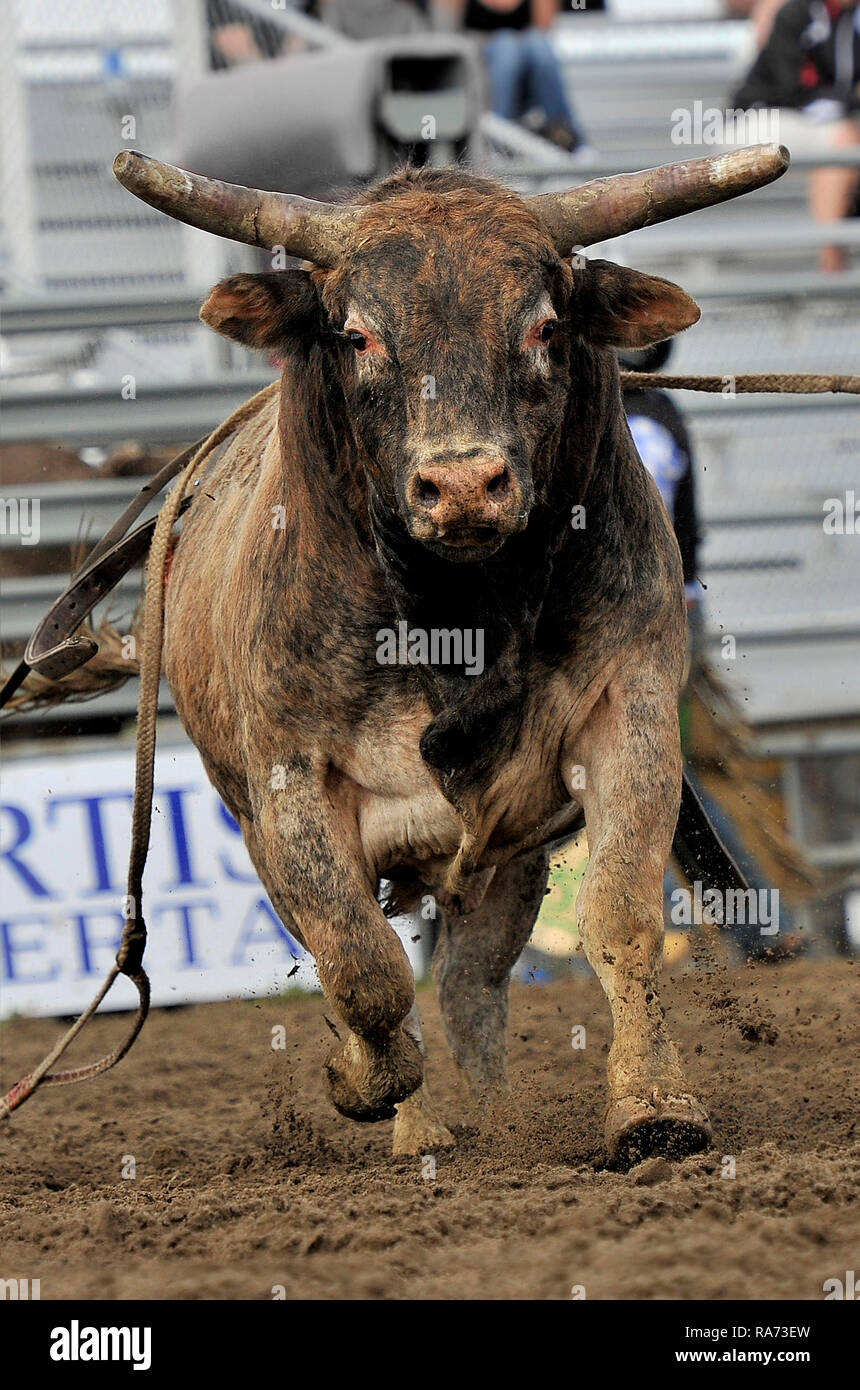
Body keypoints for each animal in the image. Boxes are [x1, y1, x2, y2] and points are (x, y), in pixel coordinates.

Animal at [100, 143, 789, 1162]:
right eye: (356, 336)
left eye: (544, 325)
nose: (463, 484)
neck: (458, 614)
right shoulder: (289, 782)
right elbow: (362, 965)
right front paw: (361, 1080)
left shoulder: (627, 710)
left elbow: (619, 913)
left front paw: (654, 1108)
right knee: (391, 966)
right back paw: (420, 1128)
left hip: (509, 854)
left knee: (469, 985)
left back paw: (495, 1121)